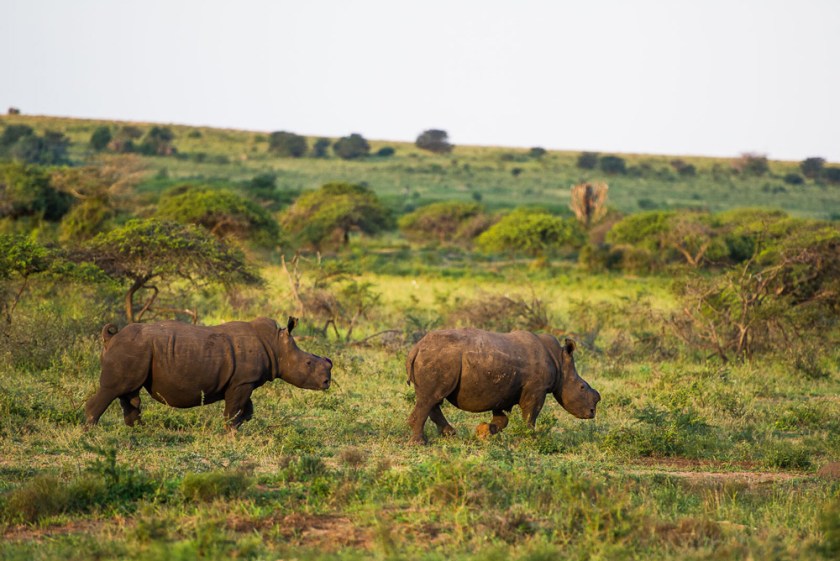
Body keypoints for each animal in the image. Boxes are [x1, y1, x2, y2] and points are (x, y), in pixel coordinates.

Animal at [85, 317, 332, 429]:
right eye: (308, 363)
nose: (327, 382)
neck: (276, 345)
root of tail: (111, 337)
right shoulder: (243, 381)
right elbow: (234, 409)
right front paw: (231, 432)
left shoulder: (243, 381)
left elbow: (247, 409)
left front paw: (239, 426)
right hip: (131, 348)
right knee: (114, 389)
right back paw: (91, 431)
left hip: (136, 350)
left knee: (128, 392)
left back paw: (138, 430)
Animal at [406, 328, 600, 443]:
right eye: (582, 387)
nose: (592, 412)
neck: (560, 362)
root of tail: (416, 348)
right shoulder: (536, 389)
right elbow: (531, 414)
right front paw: (530, 438)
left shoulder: (502, 391)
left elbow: (502, 419)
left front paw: (483, 432)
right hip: (438, 358)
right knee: (431, 398)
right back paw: (420, 443)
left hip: (436, 358)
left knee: (431, 399)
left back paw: (450, 434)